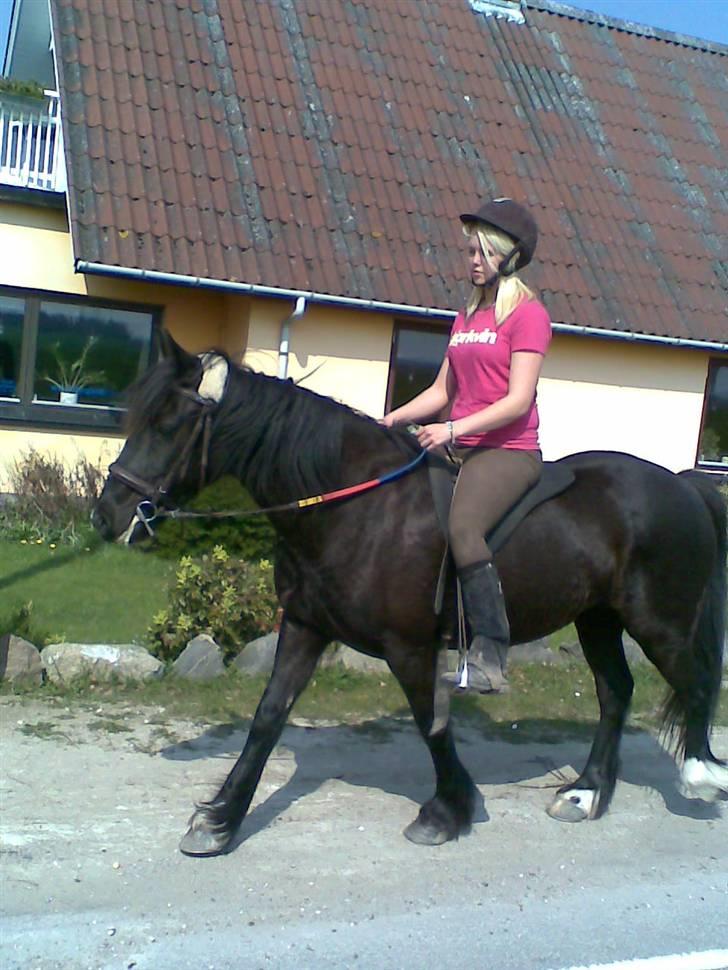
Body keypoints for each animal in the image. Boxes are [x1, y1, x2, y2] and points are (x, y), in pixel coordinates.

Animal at [92, 331, 728, 856]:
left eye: (168, 425)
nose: (106, 516)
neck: (357, 507)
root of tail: (684, 485)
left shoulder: (409, 646)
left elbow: (430, 723)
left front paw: (448, 811)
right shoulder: (303, 627)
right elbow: (267, 718)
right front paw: (221, 820)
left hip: (660, 622)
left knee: (694, 683)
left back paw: (699, 776)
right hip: (598, 618)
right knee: (616, 692)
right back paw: (586, 794)